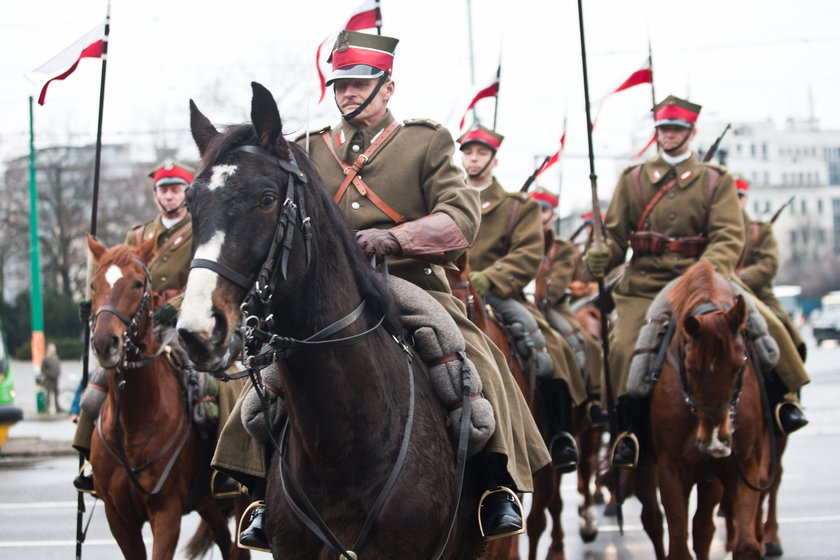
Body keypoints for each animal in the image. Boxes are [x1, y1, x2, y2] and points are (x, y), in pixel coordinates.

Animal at [87, 234, 248, 556]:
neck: (132, 425)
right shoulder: (119, 519)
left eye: (138, 284)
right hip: (206, 503)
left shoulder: (166, 514)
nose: (104, 343)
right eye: (94, 284)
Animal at [648, 262, 772, 560]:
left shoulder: (744, 465)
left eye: (740, 366)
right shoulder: (669, 470)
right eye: (691, 369)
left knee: (703, 528)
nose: (716, 441)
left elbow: (746, 544)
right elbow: (679, 547)